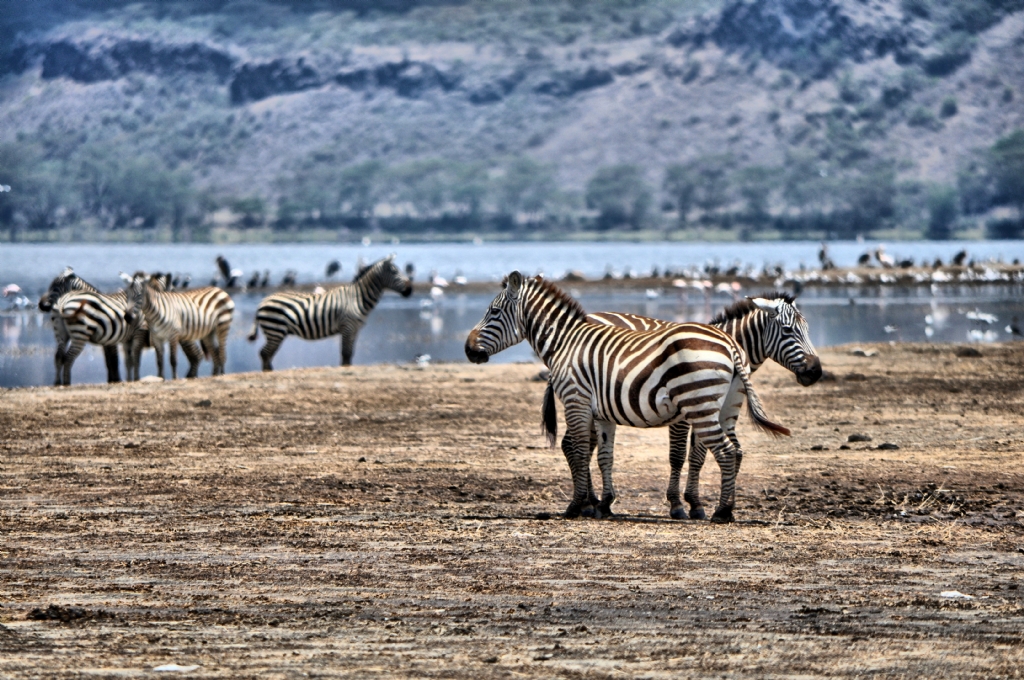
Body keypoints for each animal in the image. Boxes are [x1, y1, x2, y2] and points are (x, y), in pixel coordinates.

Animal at [247, 255, 411, 372]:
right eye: (395, 272)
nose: (410, 290)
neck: (357, 297)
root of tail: (262, 303)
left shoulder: (355, 329)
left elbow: (349, 354)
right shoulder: (347, 326)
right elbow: (345, 353)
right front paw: (345, 368)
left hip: (275, 331)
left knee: (266, 354)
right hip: (275, 330)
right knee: (265, 353)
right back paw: (268, 372)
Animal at [466, 274, 790, 522]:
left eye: (493, 312)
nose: (468, 350)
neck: (566, 342)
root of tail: (730, 343)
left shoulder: (575, 400)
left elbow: (581, 451)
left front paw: (576, 506)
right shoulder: (602, 413)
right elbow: (604, 456)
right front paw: (603, 504)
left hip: (699, 405)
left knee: (726, 452)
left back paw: (722, 512)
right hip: (724, 407)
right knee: (734, 451)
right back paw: (726, 510)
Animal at [540, 292, 819, 520]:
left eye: (807, 328)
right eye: (787, 331)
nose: (816, 371)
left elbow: (699, 456)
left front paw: (696, 503)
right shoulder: (685, 414)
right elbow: (678, 456)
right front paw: (679, 505)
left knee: (579, 445)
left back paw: (593, 501)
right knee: (571, 444)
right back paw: (588, 503)